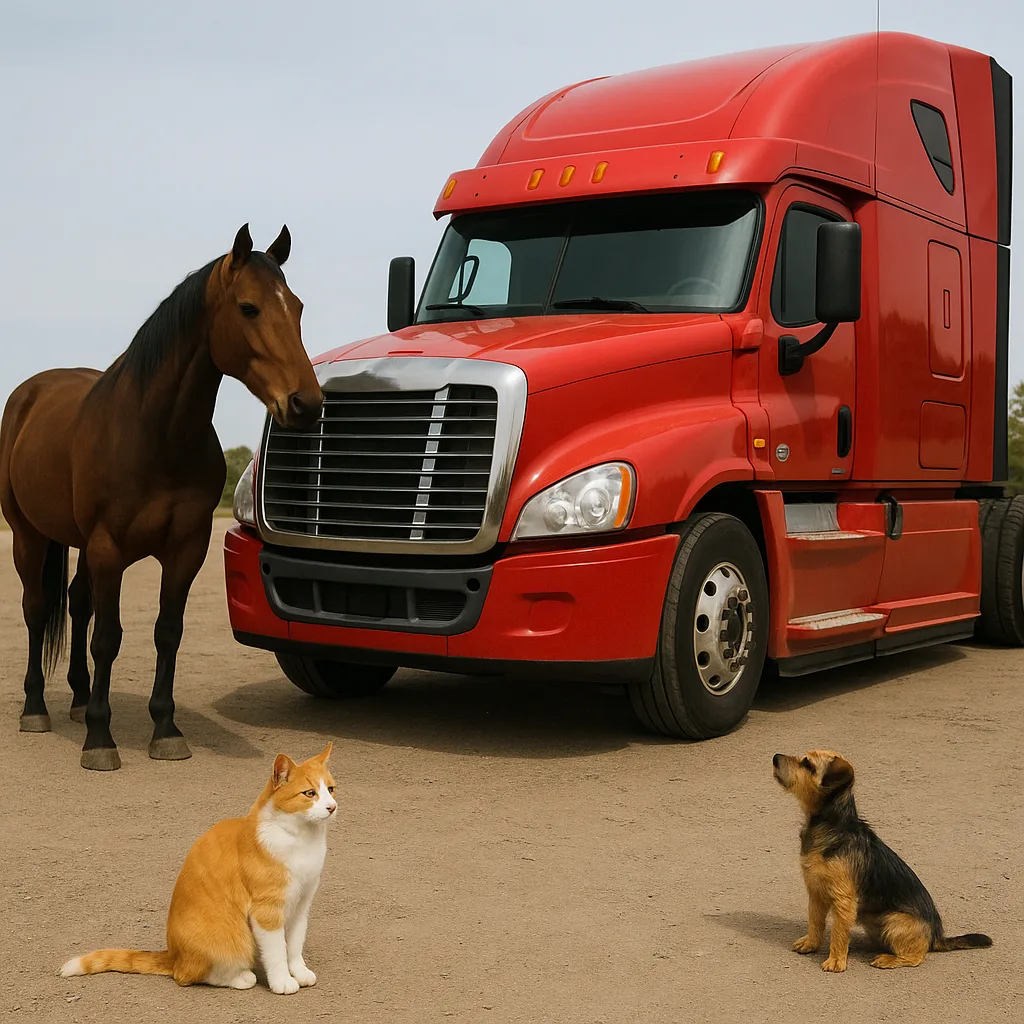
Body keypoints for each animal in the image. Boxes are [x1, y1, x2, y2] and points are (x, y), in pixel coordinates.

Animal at [0, 224, 322, 771]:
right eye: (249, 307)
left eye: (297, 307)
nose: (306, 404)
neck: (154, 434)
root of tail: (30, 393)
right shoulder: (109, 548)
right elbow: (109, 637)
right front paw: (100, 740)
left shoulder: (185, 548)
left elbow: (166, 632)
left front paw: (165, 729)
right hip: (29, 536)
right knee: (37, 608)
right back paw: (36, 708)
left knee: (77, 605)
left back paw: (80, 699)